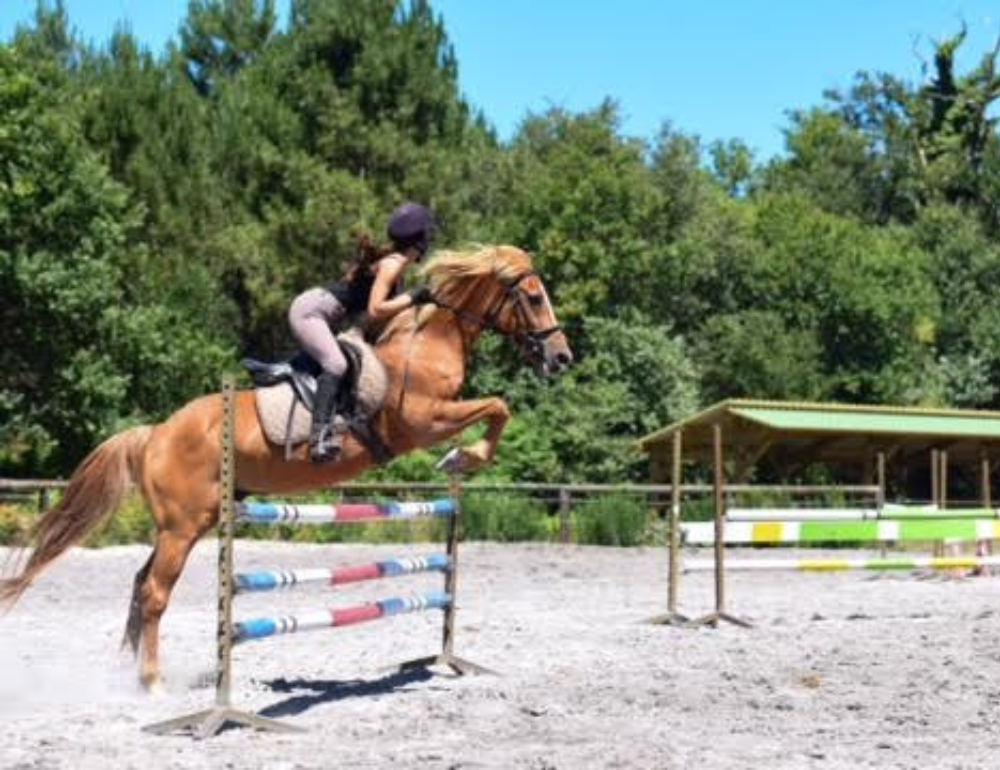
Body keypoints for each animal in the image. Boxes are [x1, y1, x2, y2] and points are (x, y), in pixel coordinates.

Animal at [1, 243, 572, 688]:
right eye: (533, 296)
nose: (562, 358)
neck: (426, 344)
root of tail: (156, 433)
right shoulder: (424, 420)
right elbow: (498, 405)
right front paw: (465, 455)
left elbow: (497, 407)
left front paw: (463, 457)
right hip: (182, 526)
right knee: (155, 592)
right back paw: (153, 682)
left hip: (191, 523)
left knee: (141, 584)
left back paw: (130, 673)